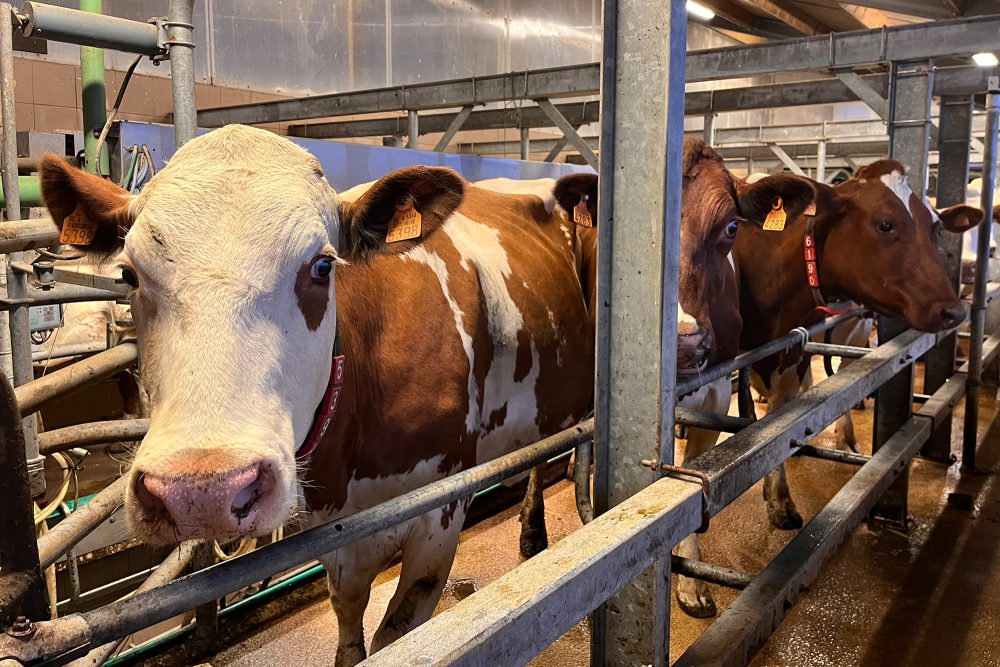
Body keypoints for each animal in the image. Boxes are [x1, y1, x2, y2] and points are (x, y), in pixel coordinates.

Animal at [41, 124, 592, 664]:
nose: (201, 491)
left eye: (323, 266)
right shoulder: (331, 529)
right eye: (127, 274)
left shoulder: (440, 512)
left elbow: (396, 634)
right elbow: (349, 617)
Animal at [740, 159, 980, 536]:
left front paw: (779, 498)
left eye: (937, 229)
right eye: (885, 224)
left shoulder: (796, 349)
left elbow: (779, 424)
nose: (954, 311)